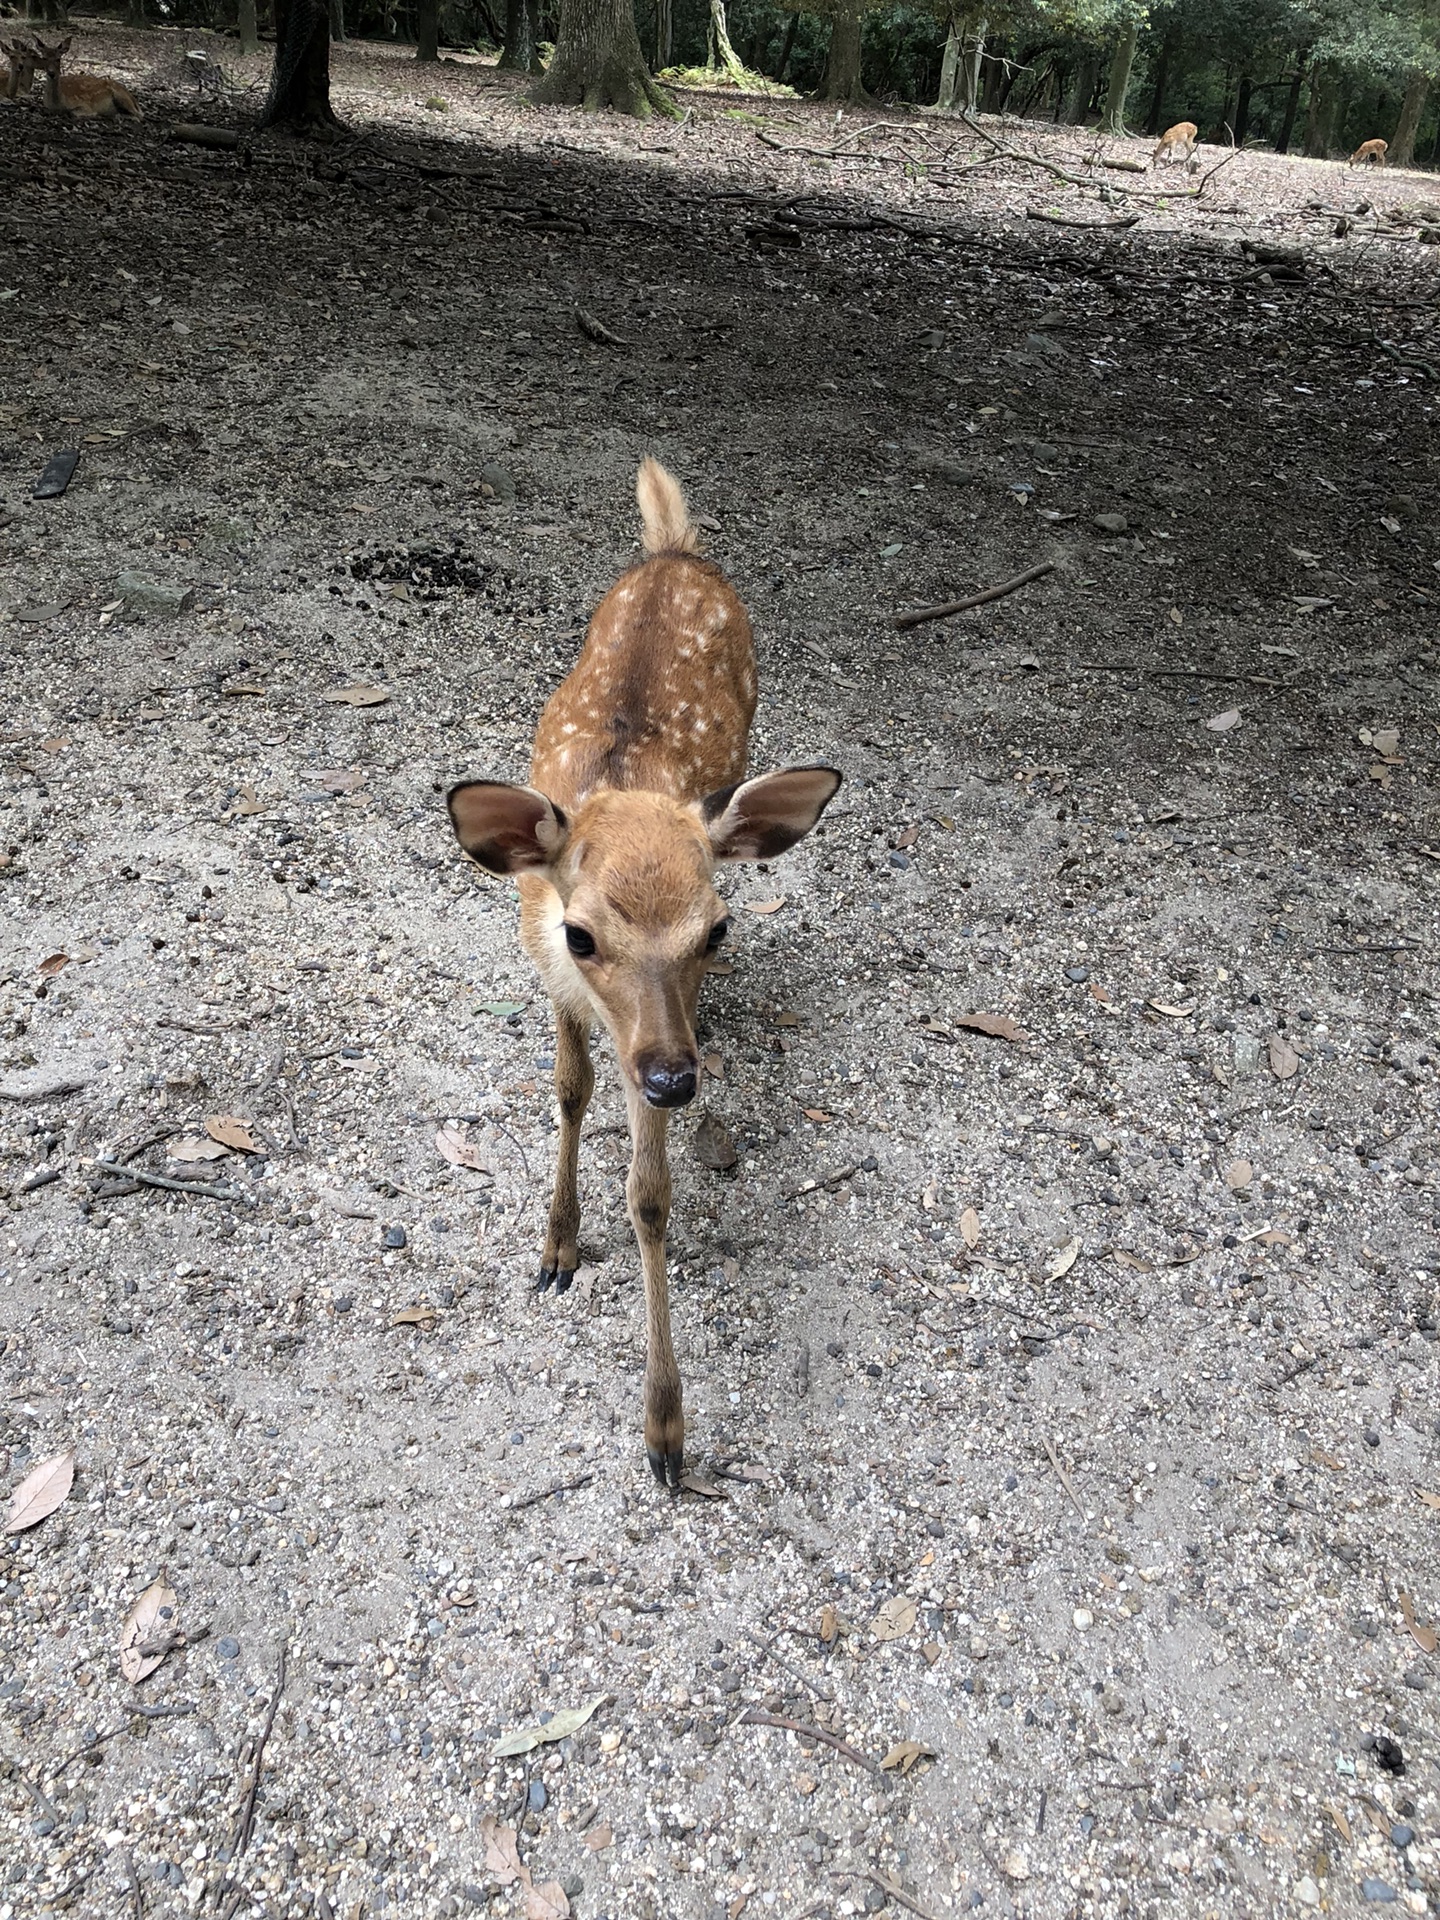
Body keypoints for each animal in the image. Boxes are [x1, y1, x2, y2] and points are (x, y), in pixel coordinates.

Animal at [445, 460, 840, 1482]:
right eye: (582, 935)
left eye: (719, 930)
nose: (674, 1078)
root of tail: (673, 551)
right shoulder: (553, 978)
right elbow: (569, 1089)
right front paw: (555, 1248)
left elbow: (651, 1197)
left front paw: (666, 1432)